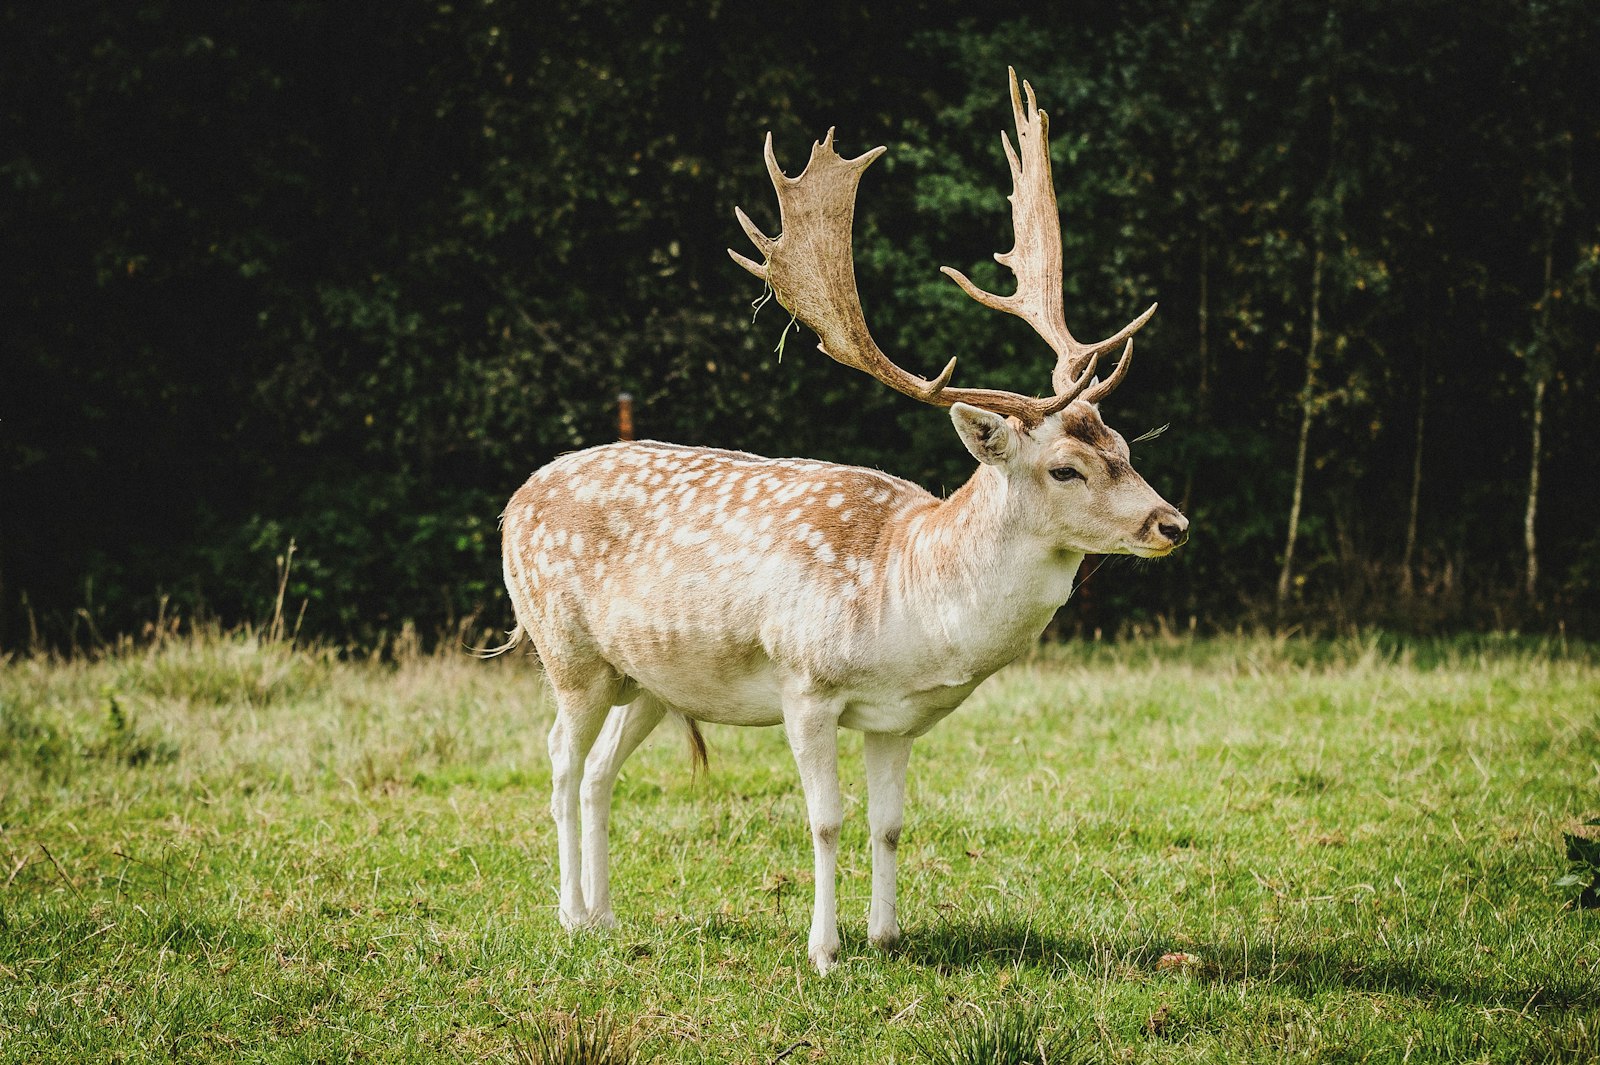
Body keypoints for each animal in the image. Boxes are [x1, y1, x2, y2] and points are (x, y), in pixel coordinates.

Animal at [499, 70, 1190, 972]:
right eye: (1065, 467)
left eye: (1123, 444)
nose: (1171, 523)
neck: (908, 593)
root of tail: (512, 503)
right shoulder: (807, 682)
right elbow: (825, 820)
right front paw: (825, 951)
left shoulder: (896, 717)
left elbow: (889, 823)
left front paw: (887, 934)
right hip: (566, 649)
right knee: (556, 759)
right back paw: (570, 915)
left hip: (645, 675)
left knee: (598, 772)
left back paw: (609, 916)